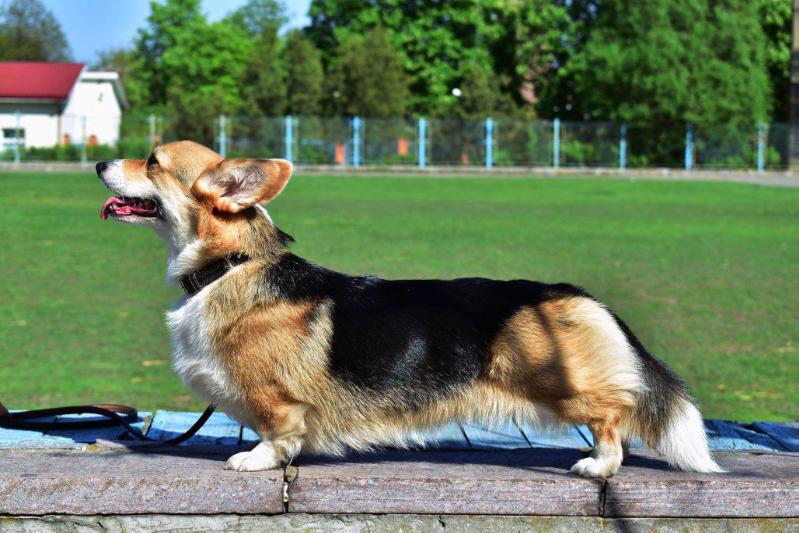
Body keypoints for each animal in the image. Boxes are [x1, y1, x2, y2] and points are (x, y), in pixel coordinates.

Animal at [95, 141, 724, 478]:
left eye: (152, 161)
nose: (100, 163)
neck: (230, 265)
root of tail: (579, 294)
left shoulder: (277, 401)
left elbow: (277, 432)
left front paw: (254, 460)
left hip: (565, 386)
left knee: (616, 413)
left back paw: (597, 465)